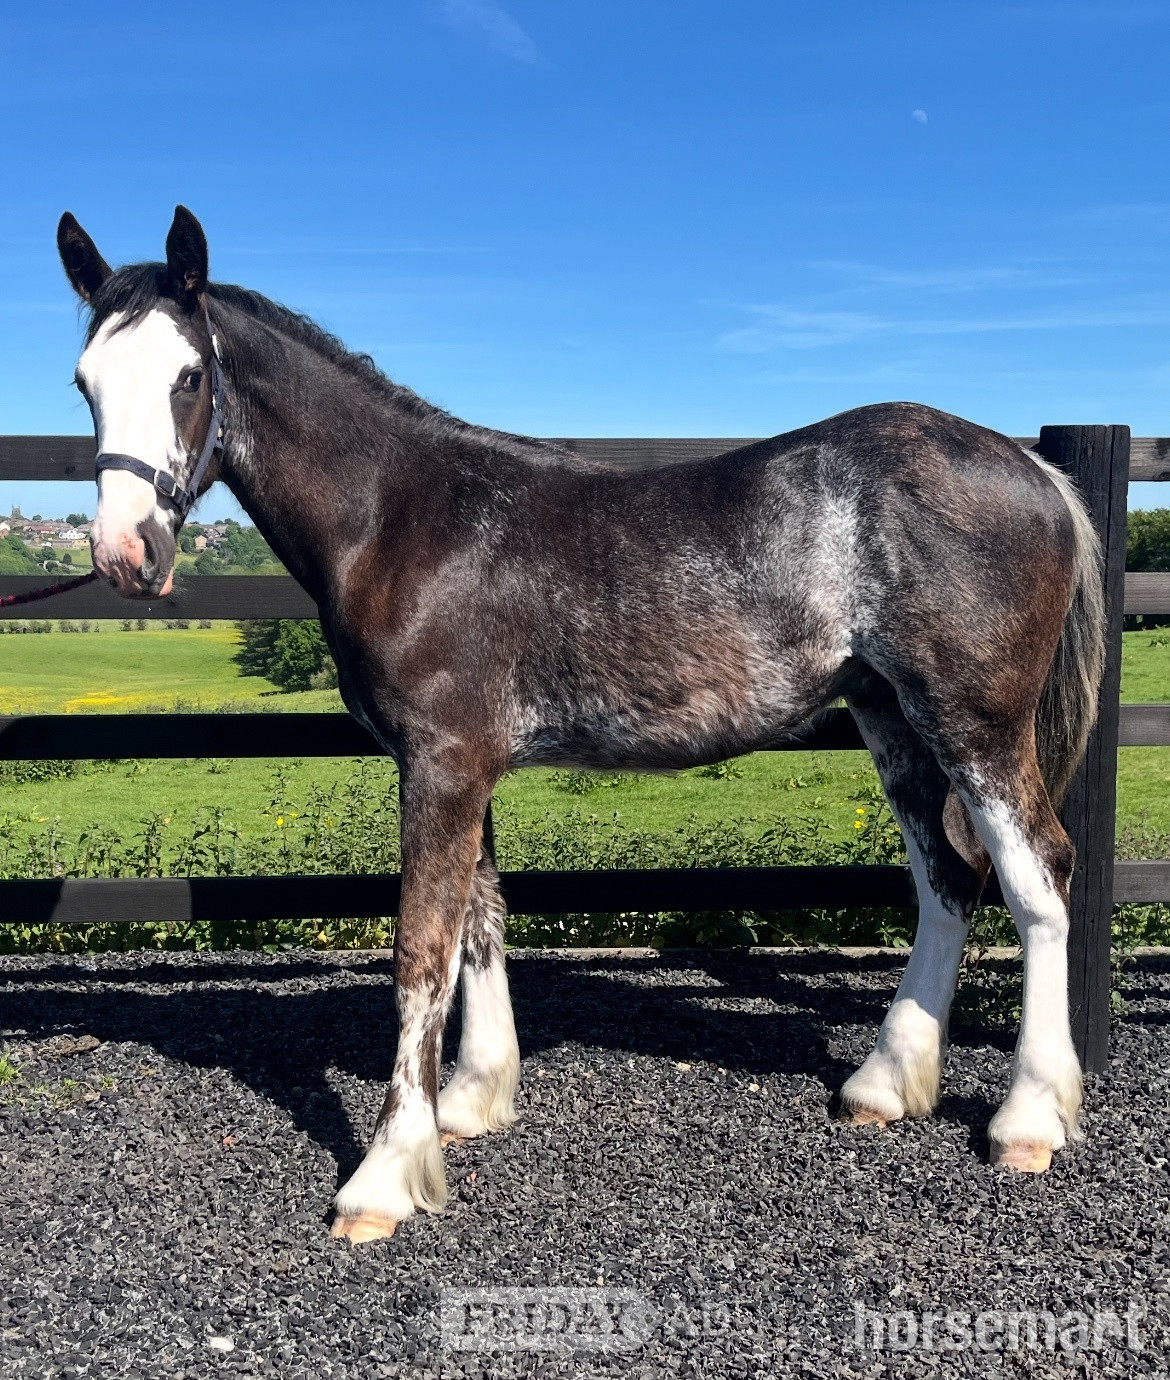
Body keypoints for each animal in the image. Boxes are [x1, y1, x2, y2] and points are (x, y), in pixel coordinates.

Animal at [56, 206, 1105, 1244]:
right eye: (84, 382)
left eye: (188, 377)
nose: (123, 553)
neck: (399, 518)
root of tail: (1034, 469)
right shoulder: (462, 764)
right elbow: (480, 920)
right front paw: (471, 1100)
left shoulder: (441, 765)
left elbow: (421, 950)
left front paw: (384, 1177)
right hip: (891, 718)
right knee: (946, 879)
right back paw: (886, 1084)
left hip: (975, 723)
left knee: (1036, 877)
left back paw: (1028, 1119)